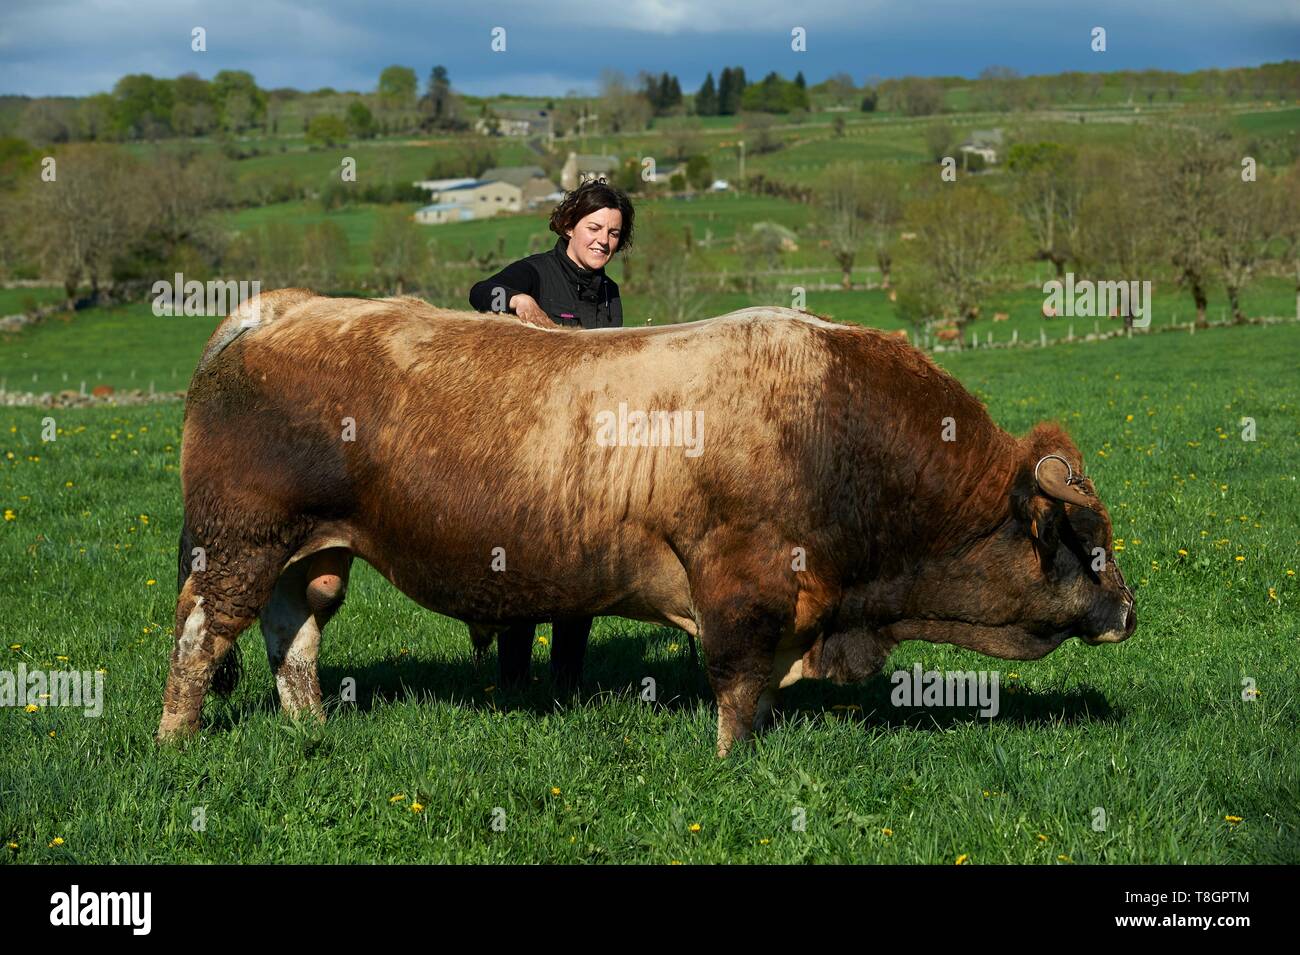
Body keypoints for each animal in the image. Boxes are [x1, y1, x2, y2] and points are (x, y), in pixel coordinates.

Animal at [159, 289, 1138, 753]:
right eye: (1088, 545)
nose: (1129, 612)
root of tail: (280, 306)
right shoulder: (741, 587)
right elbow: (737, 686)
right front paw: (734, 762)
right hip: (240, 542)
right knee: (203, 637)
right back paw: (177, 742)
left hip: (308, 553)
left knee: (293, 635)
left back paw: (310, 729)